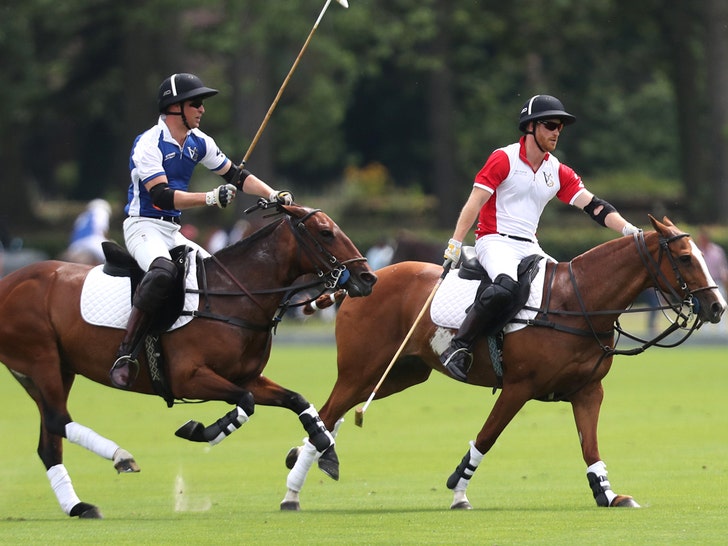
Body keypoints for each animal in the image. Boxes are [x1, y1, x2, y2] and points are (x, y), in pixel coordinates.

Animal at [0, 202, 376, 516]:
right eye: (326, 232)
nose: (368, 278)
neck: (234, 296)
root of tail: (8, 281)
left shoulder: (245, 376)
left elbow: (297, 400)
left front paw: (325, 450)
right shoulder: (189, 377)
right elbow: (245, 402)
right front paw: (203, 430)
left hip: (48, 370)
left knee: (49, 440)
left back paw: (79, 506)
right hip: (41, 359)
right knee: (56, 419)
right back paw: (121, 456)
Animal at [282, 217, 724, 510]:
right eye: (686, 257)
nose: (718, 307)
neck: (577, 303)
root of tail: (357, 282)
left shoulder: (587, 390)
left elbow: (590, 445)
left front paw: (609, 494)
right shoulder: (518, 388)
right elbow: (486, 438)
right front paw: (459, 491)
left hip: (401, 372)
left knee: (336, 415)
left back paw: (310, 457)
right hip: (360, 369)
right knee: (328, 410)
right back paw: (293, 489)